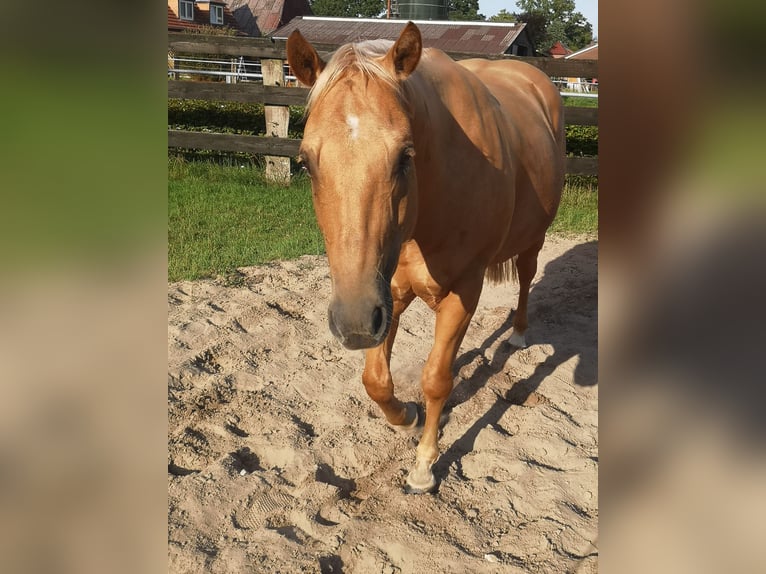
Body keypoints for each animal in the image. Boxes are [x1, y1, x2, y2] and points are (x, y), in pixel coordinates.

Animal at [286, 22, 565, 493]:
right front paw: (407, 419)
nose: (353, 324)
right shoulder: (387, 294)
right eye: (306, 162)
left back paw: (518, 334)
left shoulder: (462, 291)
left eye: (405, 156)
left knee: (527, 278)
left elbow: (437, 379)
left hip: (533, 240)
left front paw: (423, 464)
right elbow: (375, 380)